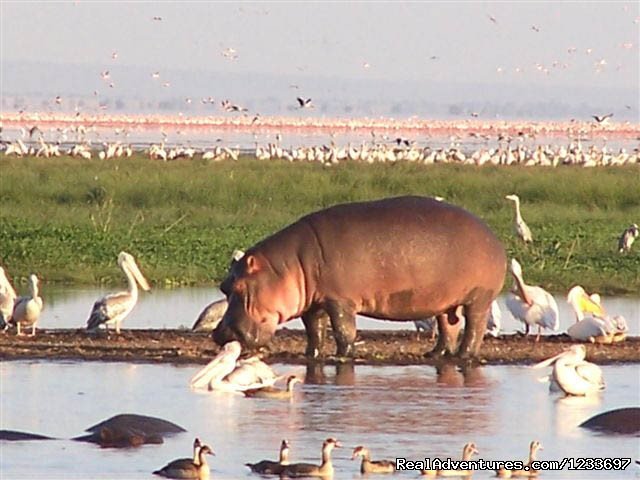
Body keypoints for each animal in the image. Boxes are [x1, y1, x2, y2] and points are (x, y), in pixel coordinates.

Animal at [214, 196, 504, 360]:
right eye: (224, 286)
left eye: (240, 286)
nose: (220, 333)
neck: (288, 265)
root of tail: (492, 235)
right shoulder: (314, 302)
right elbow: (314, 330)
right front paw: (312, 355)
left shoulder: (340, 300)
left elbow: (344, 330)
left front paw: (344, 355)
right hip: (444, 301)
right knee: (448, 327)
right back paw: (435, 354)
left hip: (479, 299)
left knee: (475, 328)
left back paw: (464, 356)